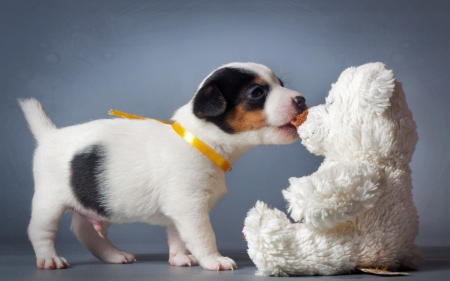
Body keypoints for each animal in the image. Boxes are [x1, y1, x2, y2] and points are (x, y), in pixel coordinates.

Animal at [19, 63, 308, 270]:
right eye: (257, 92)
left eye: (281, 84)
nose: (301, 99)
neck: (201, 139)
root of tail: (49, 135)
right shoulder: (190, 208)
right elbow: (204, 236)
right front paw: (213, 259)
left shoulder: (178, 213)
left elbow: (177, 236)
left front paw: (179, 258)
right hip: (49, 201)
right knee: (40, 231)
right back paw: (49, 259)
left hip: (95, 202)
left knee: (86, 232)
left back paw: (114, 255)